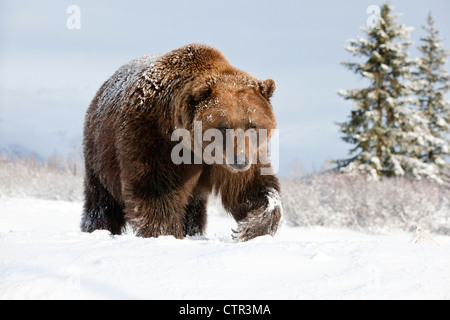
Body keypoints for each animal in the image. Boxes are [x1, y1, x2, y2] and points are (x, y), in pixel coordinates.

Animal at [81, 43, 282, 241]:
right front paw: (165, 232)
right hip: (101, 153)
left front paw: (250, 227)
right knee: (102, 203)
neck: (196, 148)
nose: (240, 160)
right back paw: (98, 228)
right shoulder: (153, 138)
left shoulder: (237, 158)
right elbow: (156, 192)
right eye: (223, 126)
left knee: (194, 208)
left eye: (252, 125)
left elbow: (251, 188)